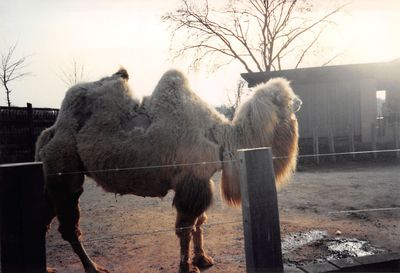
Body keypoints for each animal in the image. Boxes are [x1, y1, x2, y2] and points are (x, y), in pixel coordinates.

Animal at [36, 68, 300, 272]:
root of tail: (49, 132)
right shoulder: (191, 183)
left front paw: (202, 259)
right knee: (69, 228)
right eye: (285, 98)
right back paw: (93, 267)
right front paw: (187, 267)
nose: (300, 102)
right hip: (65, 171)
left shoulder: (202, 181)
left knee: (45, 217)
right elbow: (186, 227)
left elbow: (200, 222)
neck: (222, 138)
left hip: (54, 178)